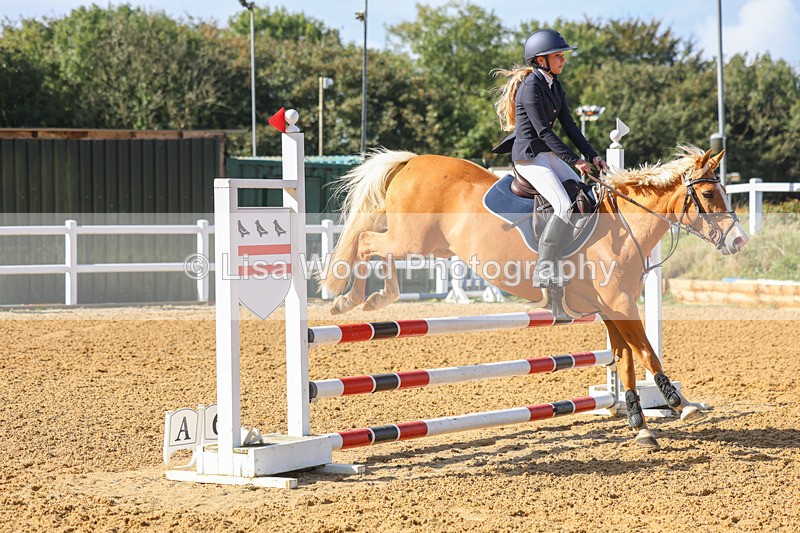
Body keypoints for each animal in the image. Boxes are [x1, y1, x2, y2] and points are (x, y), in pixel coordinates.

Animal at [319, 146, 748, 449]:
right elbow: (646, 351)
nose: (739, 241)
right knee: (367, 241)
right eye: (708, 193)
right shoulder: (619, 303)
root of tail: (411, 162)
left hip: (427, 244)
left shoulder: (611, 306)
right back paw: (349, 298)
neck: (621, 227)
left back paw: (365, 298)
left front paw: (640, 425)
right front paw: (680, 404)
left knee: (374, 241)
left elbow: (625, 357)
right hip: (412, 239)